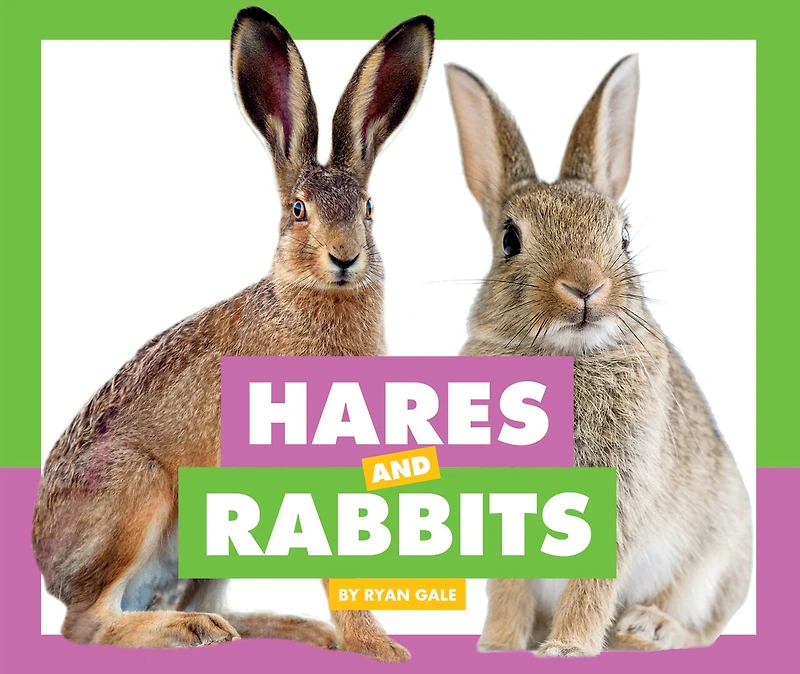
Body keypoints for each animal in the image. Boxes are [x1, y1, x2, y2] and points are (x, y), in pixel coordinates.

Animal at [32, 7, 433, 662]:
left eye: (370, 209)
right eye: (298, 210)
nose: (345, 257)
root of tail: (47, 564)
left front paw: (365, 641)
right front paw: (379, 647)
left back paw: (280, 630)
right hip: (136, 493)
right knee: (88, 624)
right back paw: (189, 630)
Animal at [445, 55, 751, 656]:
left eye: (625, 236)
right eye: (510, 240)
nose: (585, 285)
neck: (565, 353)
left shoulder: (620, 491)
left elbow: (593, 579)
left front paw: (567, 648)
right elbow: (508, 586)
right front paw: (500, 644)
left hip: (719, 556)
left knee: (703, 627)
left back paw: (648, 629)